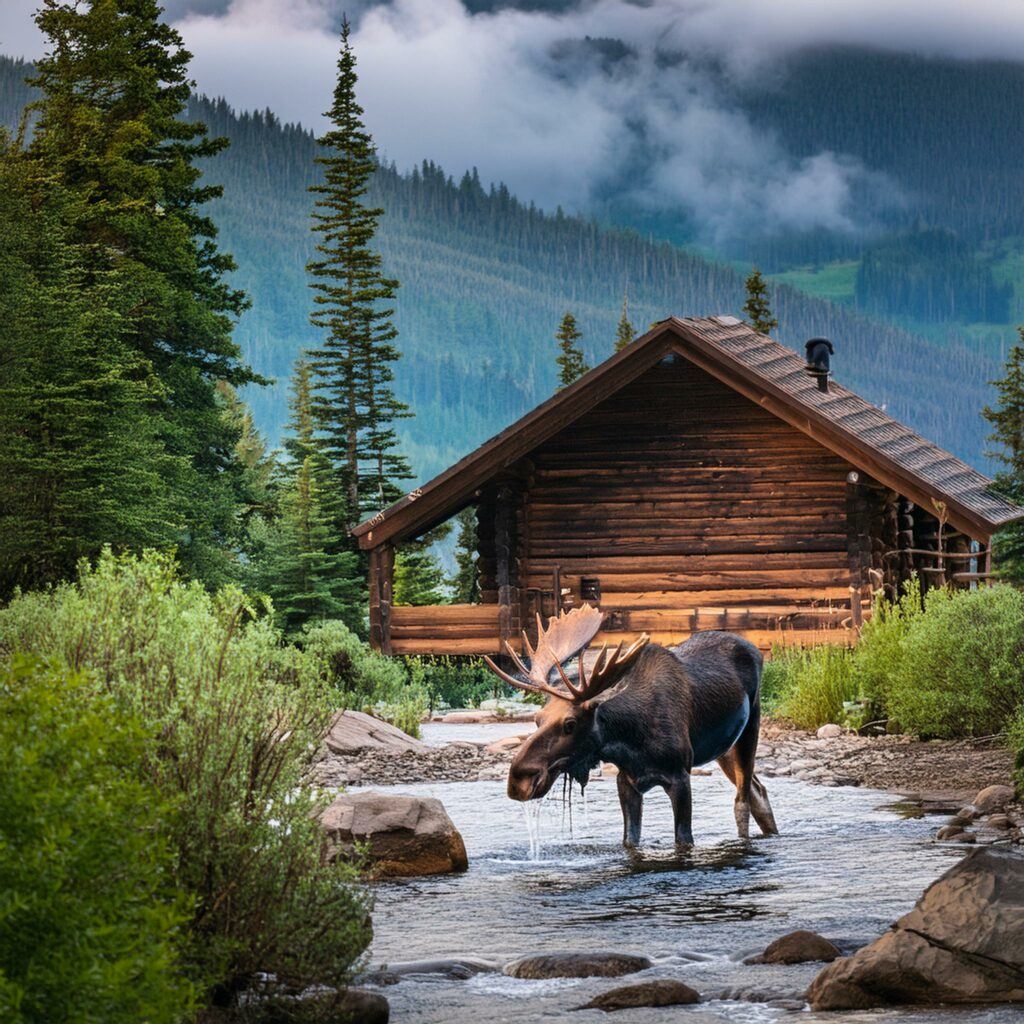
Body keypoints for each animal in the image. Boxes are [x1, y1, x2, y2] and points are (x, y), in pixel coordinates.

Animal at [483, 598, 778, 847]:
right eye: (537, 719)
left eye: (570, 723)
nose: (518, 780)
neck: (631, 739)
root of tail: (755, 650)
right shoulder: (626, 780)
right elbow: (629, 840)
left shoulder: (680, 776)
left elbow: (683, 840)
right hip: (722, 747)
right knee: (759, 791)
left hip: (749, 728)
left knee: (742, 800)